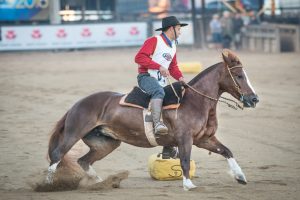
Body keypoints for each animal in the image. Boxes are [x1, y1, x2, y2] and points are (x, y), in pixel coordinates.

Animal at [46, 49, 258, 191]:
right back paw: (48, 184)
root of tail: (77, 104)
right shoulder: (185, 139)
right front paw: (188, 184)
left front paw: (240, 176)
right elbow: (185, 161)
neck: (194, 102)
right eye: (239, 75)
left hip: (106, 143)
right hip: (74, 133)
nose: (254, 99)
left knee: (83, 161)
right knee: (57, 155)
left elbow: (227, 151)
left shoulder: (204, 139)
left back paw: (102, 183)